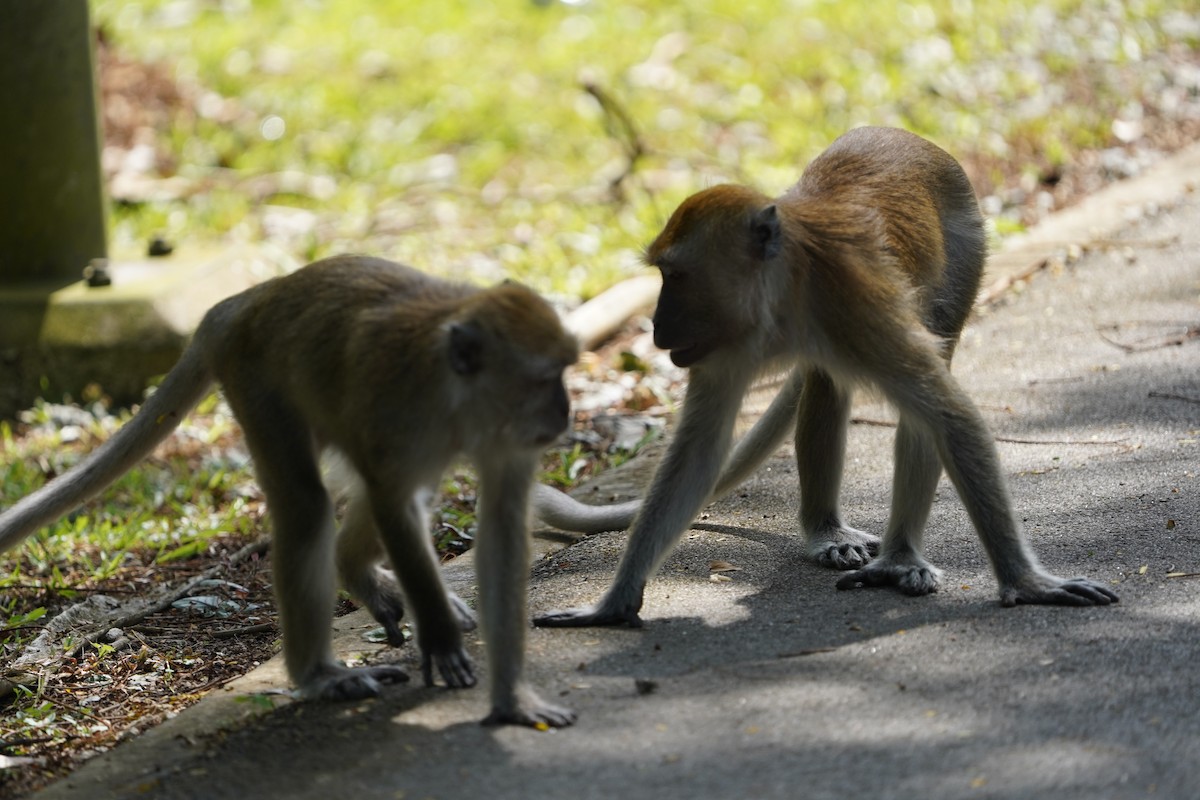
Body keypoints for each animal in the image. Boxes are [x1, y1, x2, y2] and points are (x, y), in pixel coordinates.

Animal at [0, 256, 579, 728]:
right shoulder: (395, 409)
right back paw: (320, 674)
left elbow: (501, 527)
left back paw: (355, 571)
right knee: (307, 507)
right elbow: (393, 503)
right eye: (545, 378)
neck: (458, 396)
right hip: (256, 381)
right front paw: (440, 636)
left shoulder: (507, 437)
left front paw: (512, 699)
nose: (565, 412)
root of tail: (244, 301)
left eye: (565, 372)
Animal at [533, 126, 1118, 629]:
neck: (785, 291)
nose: (656, 324)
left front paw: (1027, 583)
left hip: (966, 246)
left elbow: (950, 416)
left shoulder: (856, 308)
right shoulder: (723, 345)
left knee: (925, 392)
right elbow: (697, 453)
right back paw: (826, 532)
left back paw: (899, 556)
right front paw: (615, 602)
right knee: (826, 389)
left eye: (675, 276)